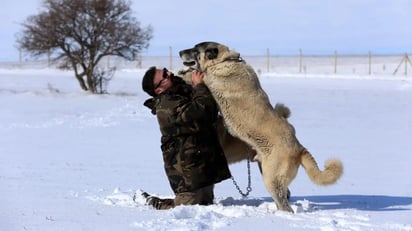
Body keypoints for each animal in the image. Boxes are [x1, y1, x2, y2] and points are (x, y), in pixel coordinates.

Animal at [179, 41, 342, 211]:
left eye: (195, 50)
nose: (179, 52)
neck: (224, 60)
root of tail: (299, 147)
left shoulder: (211, 78)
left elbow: (194, 75)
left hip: (272, 178)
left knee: (285, 205)